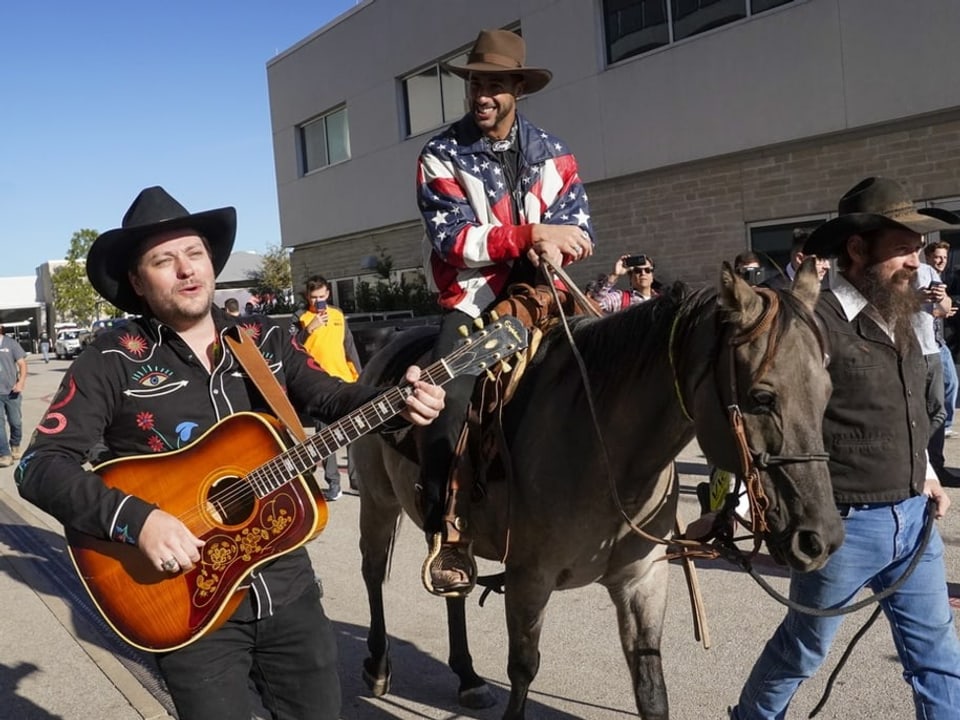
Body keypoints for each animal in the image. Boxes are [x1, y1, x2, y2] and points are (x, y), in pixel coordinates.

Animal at [350, 264, 840, 720]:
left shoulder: (642, 581)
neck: (602, 450)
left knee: (454, 586)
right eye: (761, 397)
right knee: (372, 572)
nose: (821, 539)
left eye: (827, 391)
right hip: (378, 502)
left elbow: (651, 688)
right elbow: (523, 669)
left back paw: (468, 677)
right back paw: (377, 666)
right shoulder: (529, 579)